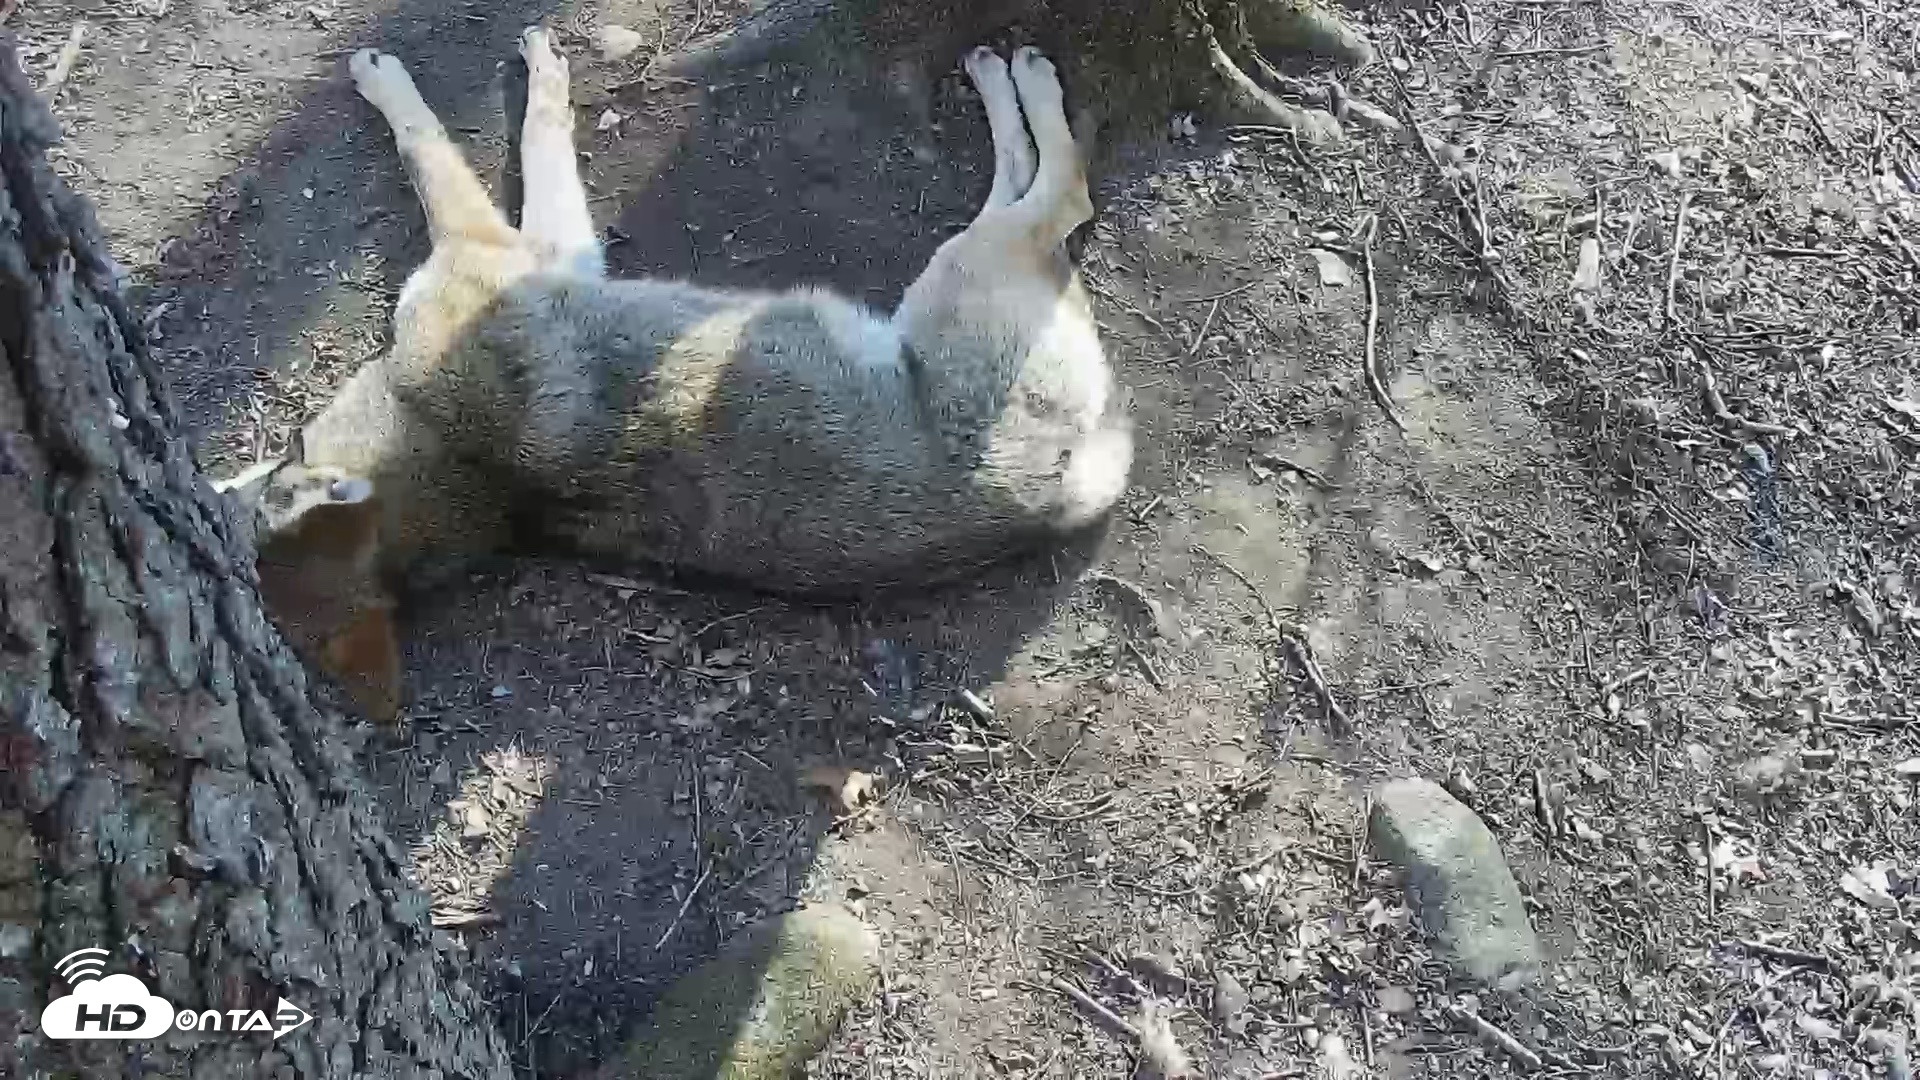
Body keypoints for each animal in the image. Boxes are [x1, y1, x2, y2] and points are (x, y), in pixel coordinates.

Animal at [217, 28, 1133, 723]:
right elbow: (449, 143)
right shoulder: (515, 249)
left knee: (1055, 194)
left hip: (975, 267)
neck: (453, 453)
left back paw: (1008, 77)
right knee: (1061, 198)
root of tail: (1062, 494)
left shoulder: (525, 252)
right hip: (976, 264)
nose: (210, 495)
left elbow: (464, 142)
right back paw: (1013, 77)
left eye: (290, 443)